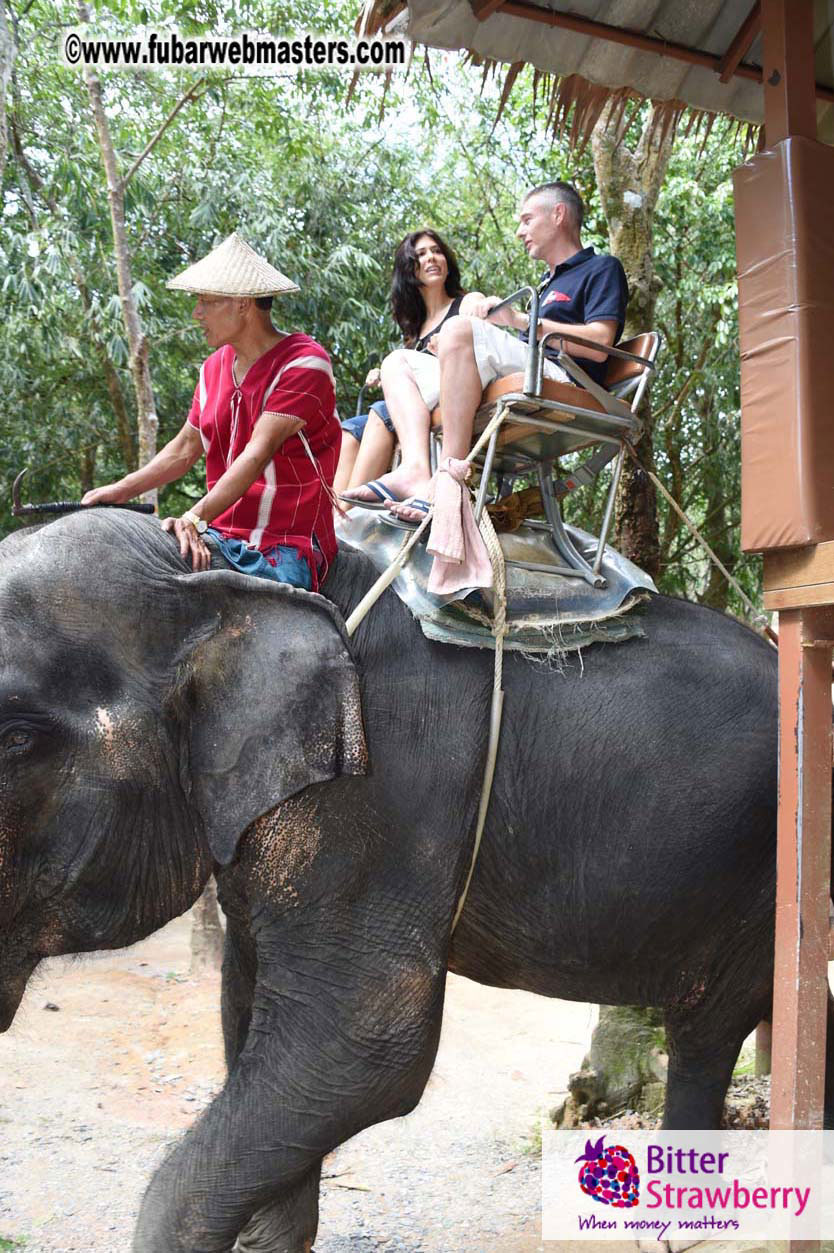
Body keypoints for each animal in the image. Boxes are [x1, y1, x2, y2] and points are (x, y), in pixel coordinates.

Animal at [0, 507, 832, 1252]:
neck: (228, 579)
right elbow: (247, 1010)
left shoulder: (380, 800)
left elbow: (366, 1043)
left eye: (13, 738)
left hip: (768, 864)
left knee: (707, 1027)